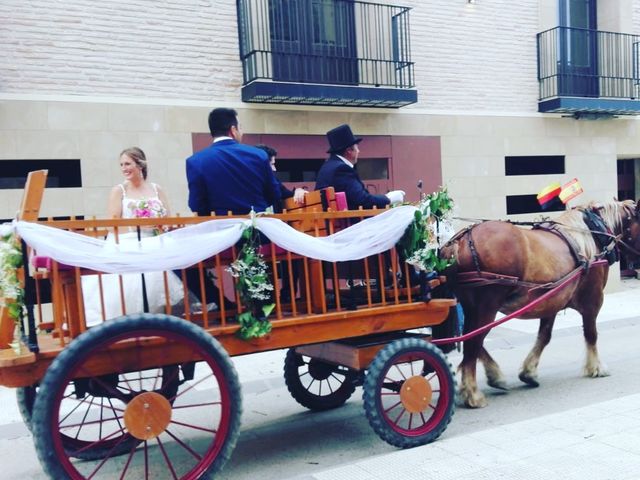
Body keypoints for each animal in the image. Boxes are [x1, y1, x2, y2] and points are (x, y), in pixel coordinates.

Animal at [440, 201, 640, 406]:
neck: (591, 236)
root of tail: (462, 240)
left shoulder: (551, 301)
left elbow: (544, 337)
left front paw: (528, 372)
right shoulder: (593, 300)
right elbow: (591, 334)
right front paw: (596, 367)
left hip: (473, 307)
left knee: (472, 340)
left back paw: (493, 377)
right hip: (486, 307)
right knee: (473, 341)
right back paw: (473, 393)